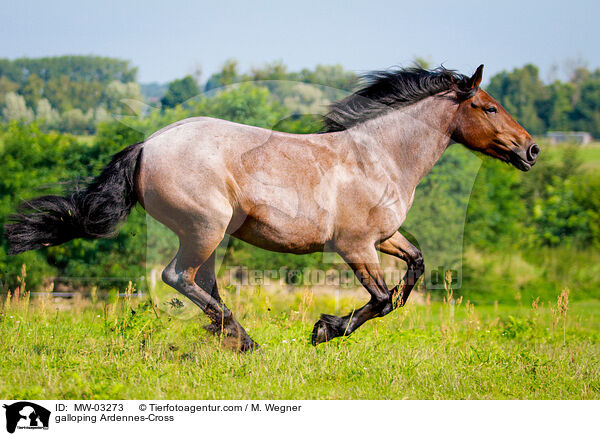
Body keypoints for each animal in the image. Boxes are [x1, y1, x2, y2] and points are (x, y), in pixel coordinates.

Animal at [3, 64, 540, 350]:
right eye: (489, 107)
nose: (531, 150)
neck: (379, 155)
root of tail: (148, 145)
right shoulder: (355, 246)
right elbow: (383, 299)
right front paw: (325, 330)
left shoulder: (384, 238)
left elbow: (415, 269)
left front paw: (327, 328)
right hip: (205, 228)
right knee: (179, 278)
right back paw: (245, 341)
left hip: (209, 235)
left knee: (202, 283)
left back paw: (232, 337)